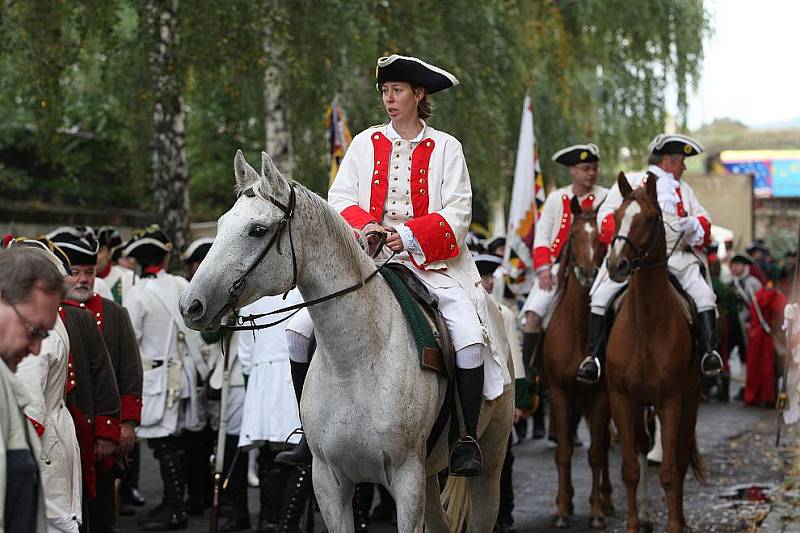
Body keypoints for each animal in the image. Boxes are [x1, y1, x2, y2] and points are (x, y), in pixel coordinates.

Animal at [180, 151, 512, 532]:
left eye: (257, 229)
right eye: (220, 225)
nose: (191, 305)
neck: (355, 361)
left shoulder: (407, 481)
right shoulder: (329, 483)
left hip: (489, 464)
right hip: (429, 476)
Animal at [608, 172, 708, 528]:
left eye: (651, 218)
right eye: (615, 216)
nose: (616, 265)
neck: (645, 326)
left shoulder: (671, 401)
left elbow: (670, 471)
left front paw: (675, 525)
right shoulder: (622, 399)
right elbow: (629, 470)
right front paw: (634, 524)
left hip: (690, 400)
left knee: (678, 460)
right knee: (641, 447)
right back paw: (649, 514)